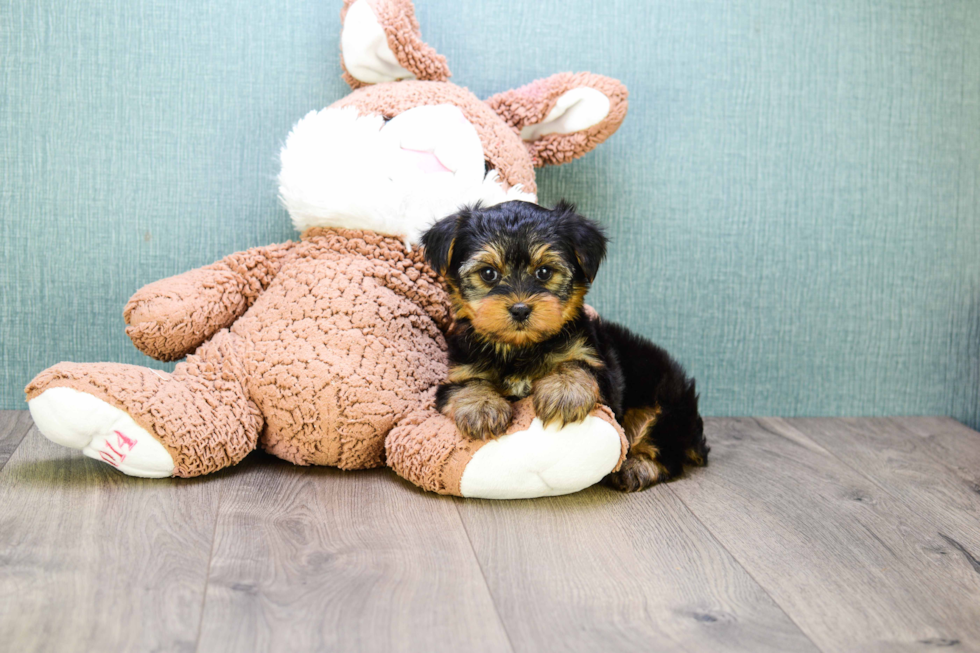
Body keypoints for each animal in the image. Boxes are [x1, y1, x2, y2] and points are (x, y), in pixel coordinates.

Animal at [422, 199, 712, 488]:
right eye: (488, 273)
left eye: (544, 272)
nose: (519, 309)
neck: (521, 347)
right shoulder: (458, 372)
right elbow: (467, 385)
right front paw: (482, 408)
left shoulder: (601, 369)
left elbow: (577, 365)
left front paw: (564, 391)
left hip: (667, 404)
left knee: (663, 445)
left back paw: (636, 467)